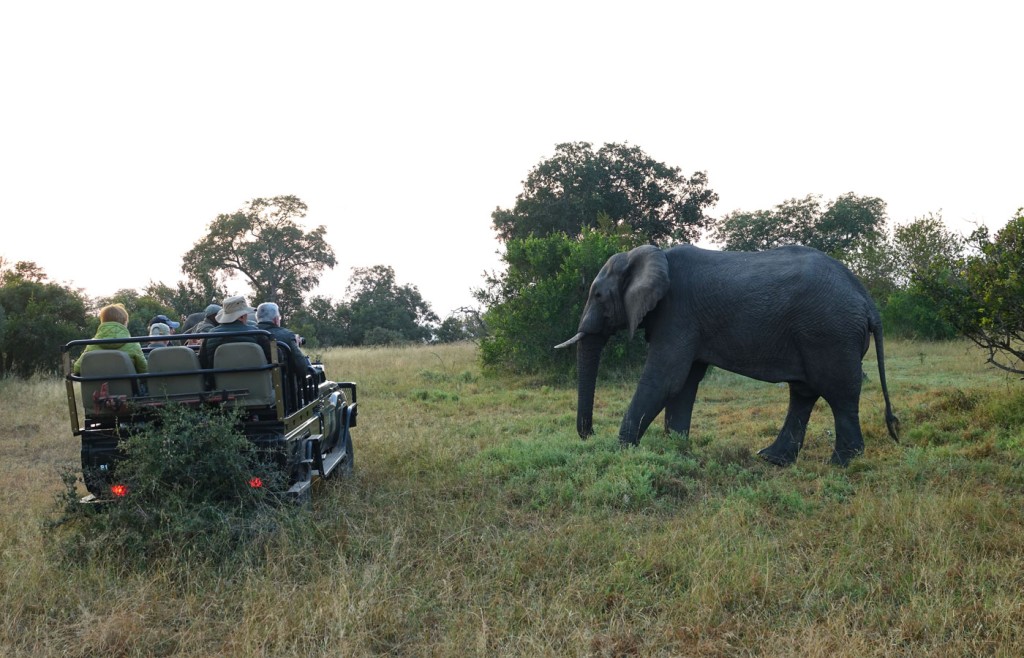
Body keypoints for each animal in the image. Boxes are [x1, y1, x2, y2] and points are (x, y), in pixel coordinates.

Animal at [557, 244, 901, 466]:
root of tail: (867, 300)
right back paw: (772, 459)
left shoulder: (678, 313)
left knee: (838, 395)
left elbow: (665, 379)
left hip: (830, 333)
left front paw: (621, 453)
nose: (589, 434)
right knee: (803, 394)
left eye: (598, 295)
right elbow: (684, 384)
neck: (650, 255)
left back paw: (842, 464)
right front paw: (676, 452)